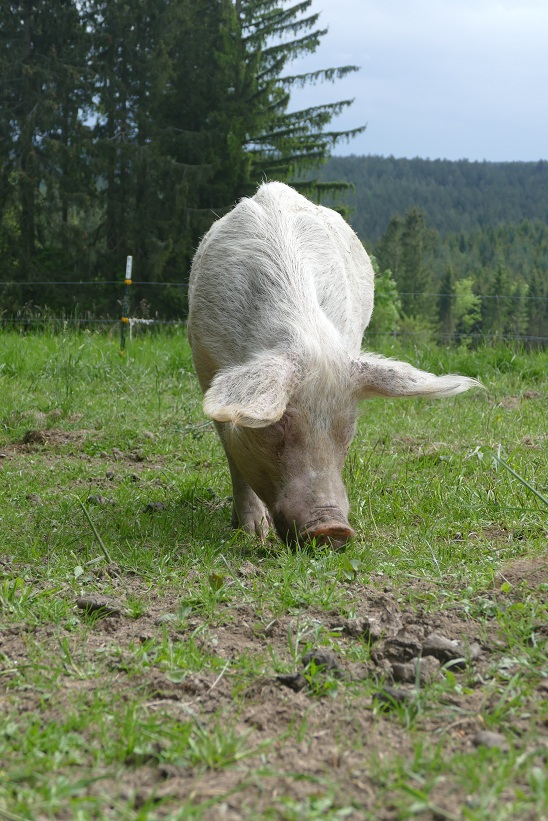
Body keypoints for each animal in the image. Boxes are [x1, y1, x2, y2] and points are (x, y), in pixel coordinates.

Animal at [188, 182, 480, 547]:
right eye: (277, 425)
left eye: (348, 429)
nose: (332, 528)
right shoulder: (206, 363)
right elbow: (232, 451)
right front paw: (254, 533)